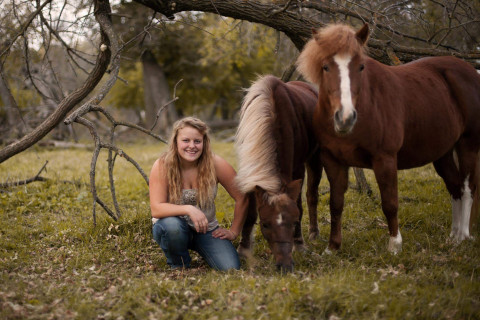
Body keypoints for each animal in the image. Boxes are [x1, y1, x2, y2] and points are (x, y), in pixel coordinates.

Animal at [233, 75, 322, 272]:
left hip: (316, 159)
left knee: (312, 196)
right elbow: (250, 212)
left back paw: (313, 234)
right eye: (265, 224)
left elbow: (299, 205)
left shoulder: (297, 169)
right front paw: (243, 249)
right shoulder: (251, 172)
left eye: (294, 223)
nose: (285, 266)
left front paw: (299, 244)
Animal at [296, 23, 480, 254]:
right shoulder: (333, 161)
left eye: (361, 67)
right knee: (455, 187)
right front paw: (332, 247)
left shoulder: (385, 159)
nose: (345, 117)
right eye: (326, 67)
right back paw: (453, 238)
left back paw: (463, 236)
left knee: (467, 188)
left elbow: (390, 203)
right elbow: (335, 203)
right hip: (443, 153)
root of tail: (470, 70)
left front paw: (394, 245)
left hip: (468, 145)